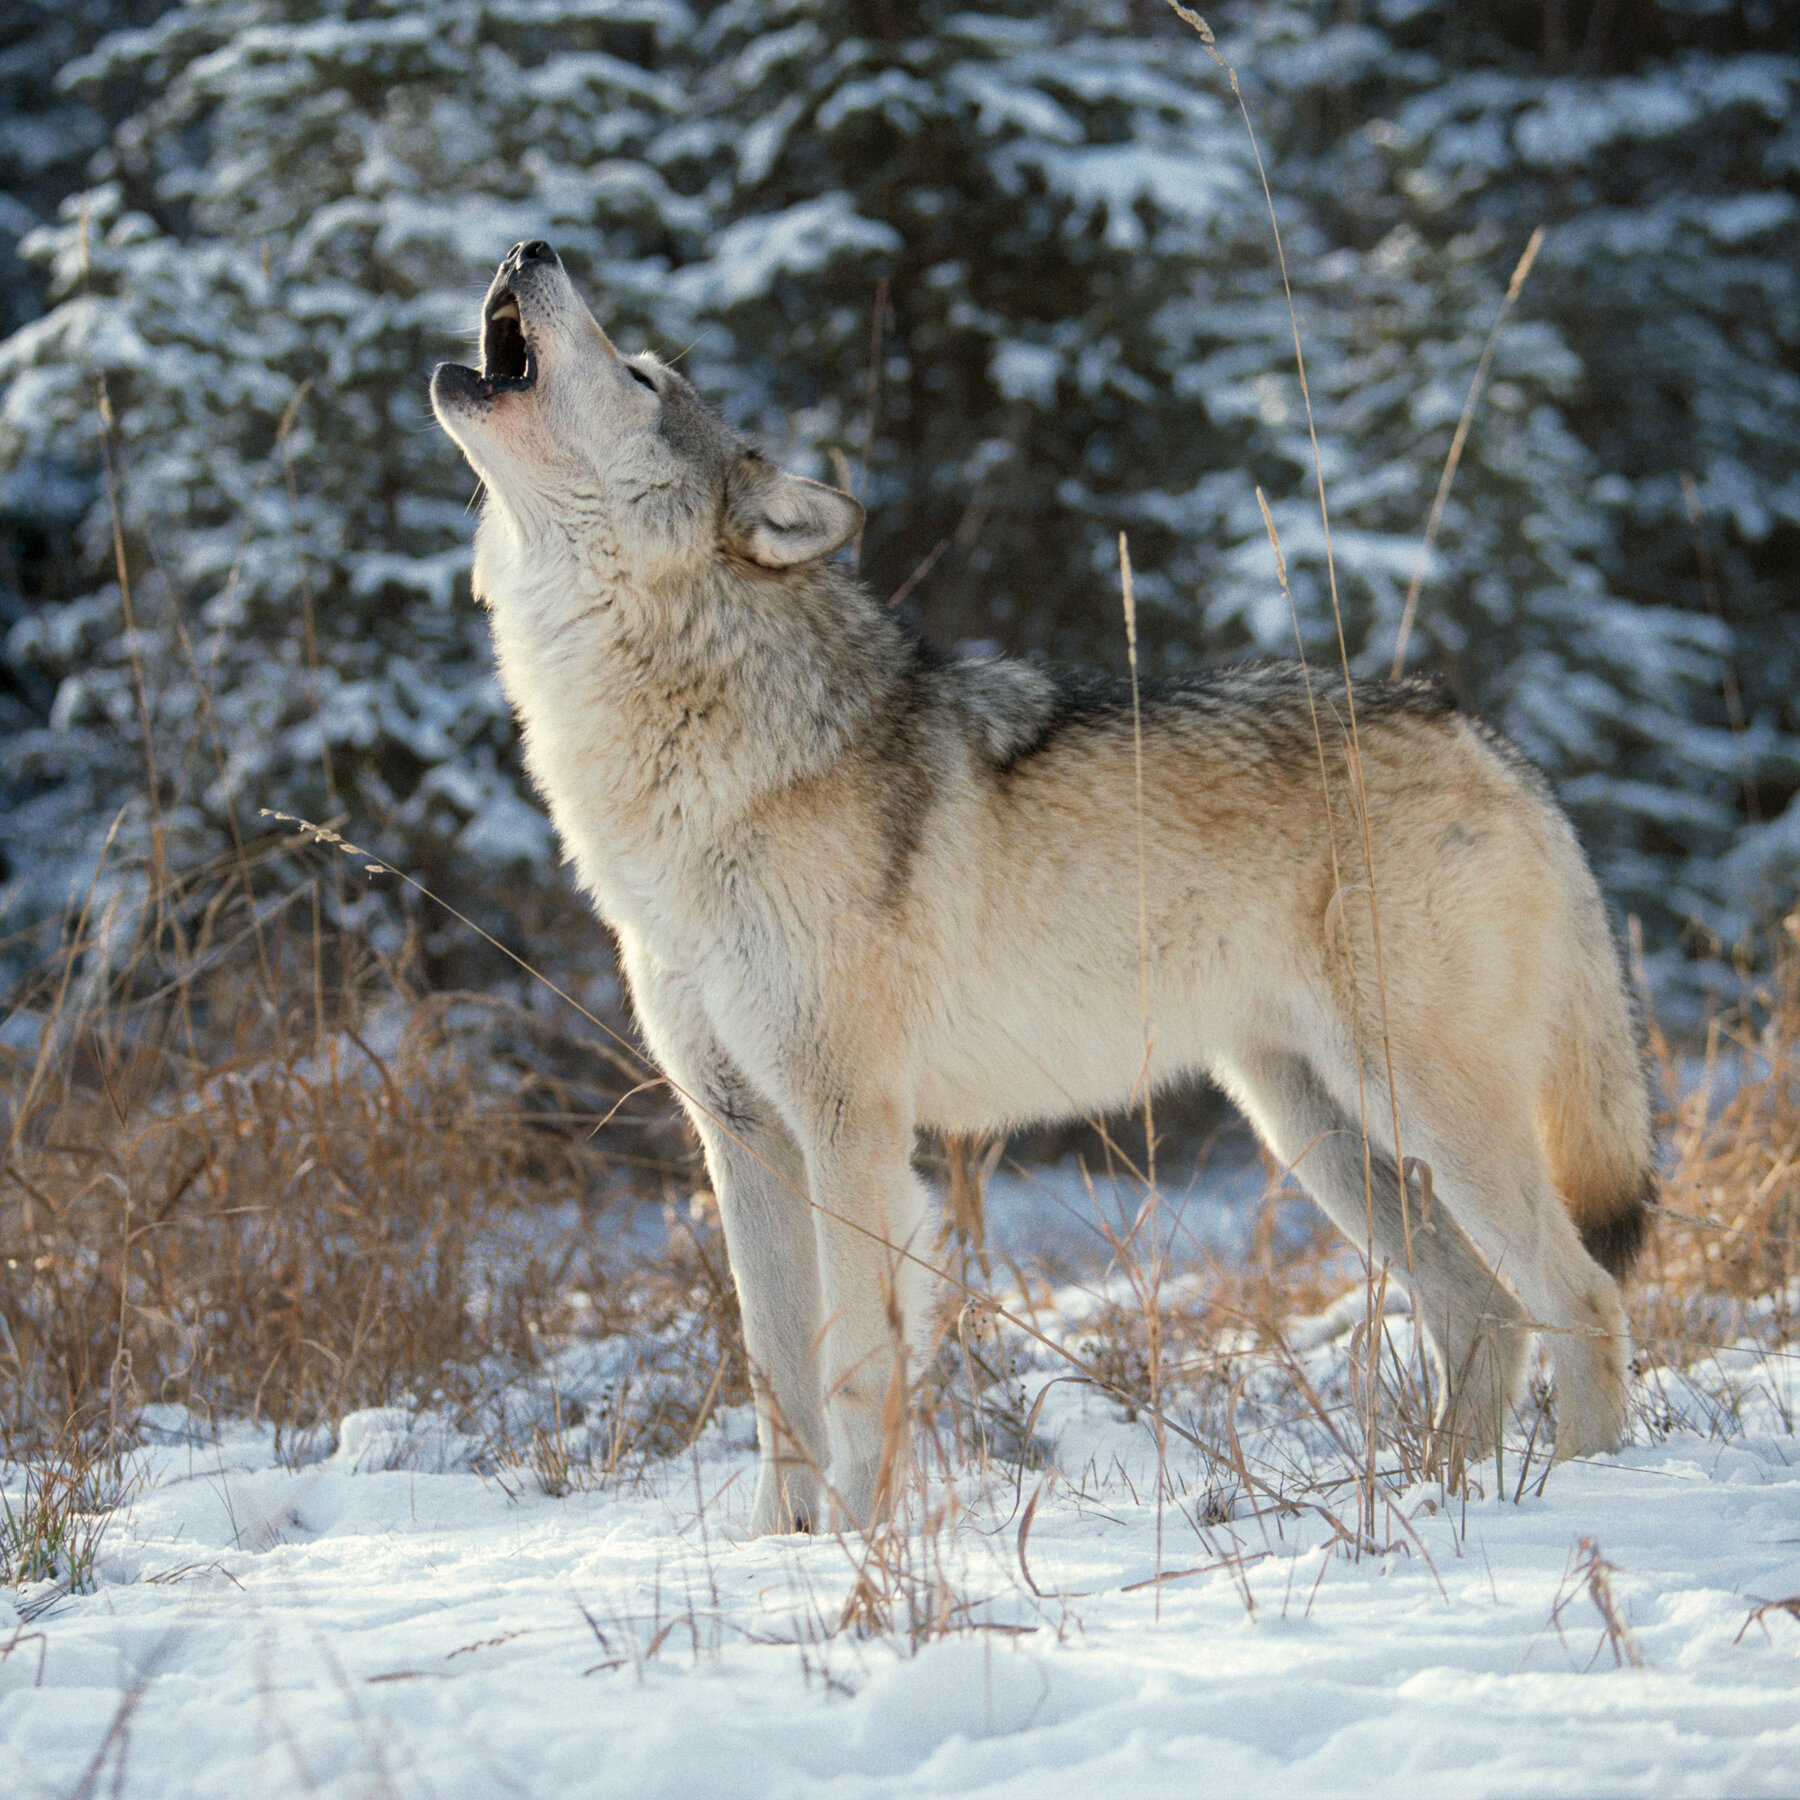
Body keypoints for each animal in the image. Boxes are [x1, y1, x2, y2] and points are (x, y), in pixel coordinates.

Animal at [432, 235, 1648, 1533]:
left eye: (644, 377)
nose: (530, 247)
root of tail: (1490, 737)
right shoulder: (742, 1134)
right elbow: (774, 1385)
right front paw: (778, 1550)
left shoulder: (850, 1128)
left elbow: (851, 1369)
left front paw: (859, 1550)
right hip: (1317, 1132)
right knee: (1484, 1310)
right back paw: (1439, 1502)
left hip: (1423, 1111)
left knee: (1584, 1297)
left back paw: (1587, 1498)